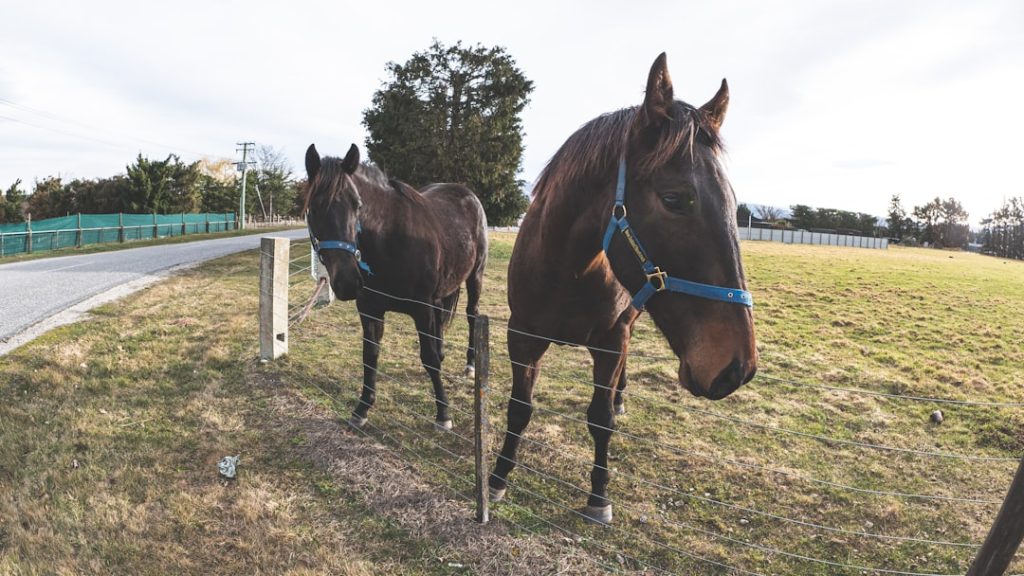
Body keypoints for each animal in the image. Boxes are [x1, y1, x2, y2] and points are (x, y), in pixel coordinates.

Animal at [303, 143, 488, 431]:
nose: (347, 282)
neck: (390, 240)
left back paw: (469, 365)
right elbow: (370, 355)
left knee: (472, 314)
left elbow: (428, 358)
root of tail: (467, 194)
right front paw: (362, 408)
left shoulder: (421, 308)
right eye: (313, 208)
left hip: (475, 276)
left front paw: (443, 414)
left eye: (357, 205)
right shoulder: (369, 309)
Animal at [488, 53, 758, 523]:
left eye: (731, 202)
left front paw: (599, 496)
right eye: (674, 199)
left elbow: (600, 419)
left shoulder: (612, 341)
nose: (737, 368)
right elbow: (519, 408)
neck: (568, 272)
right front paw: (499, 476)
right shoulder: (521, 335)